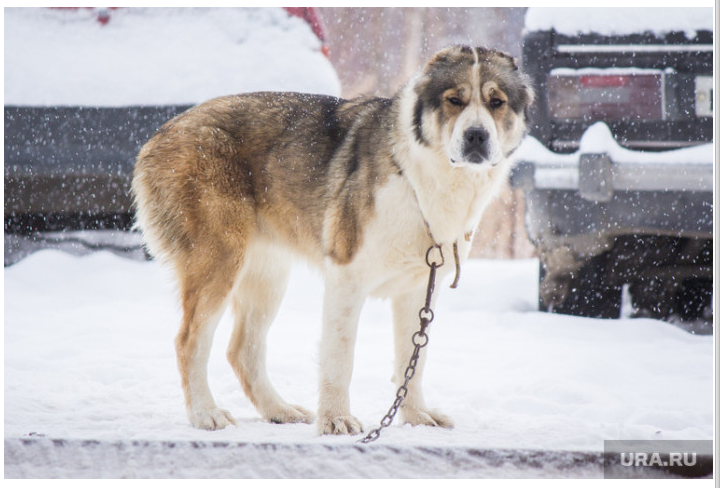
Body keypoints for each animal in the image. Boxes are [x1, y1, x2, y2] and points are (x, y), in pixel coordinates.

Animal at [132, 45, 534, 435]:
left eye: (496, 102)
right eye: (454, 100)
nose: (477, 135)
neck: (420, 176)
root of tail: (161, 132)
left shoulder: (418, 289)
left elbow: (413, 359)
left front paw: (416, 416)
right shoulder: (347, 278)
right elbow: (340, 358)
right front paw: (336, 420)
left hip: (267, 275)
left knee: (242, 350)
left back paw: (279, 411)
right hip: (220, 261)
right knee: (190, 341)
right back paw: (205, 413)